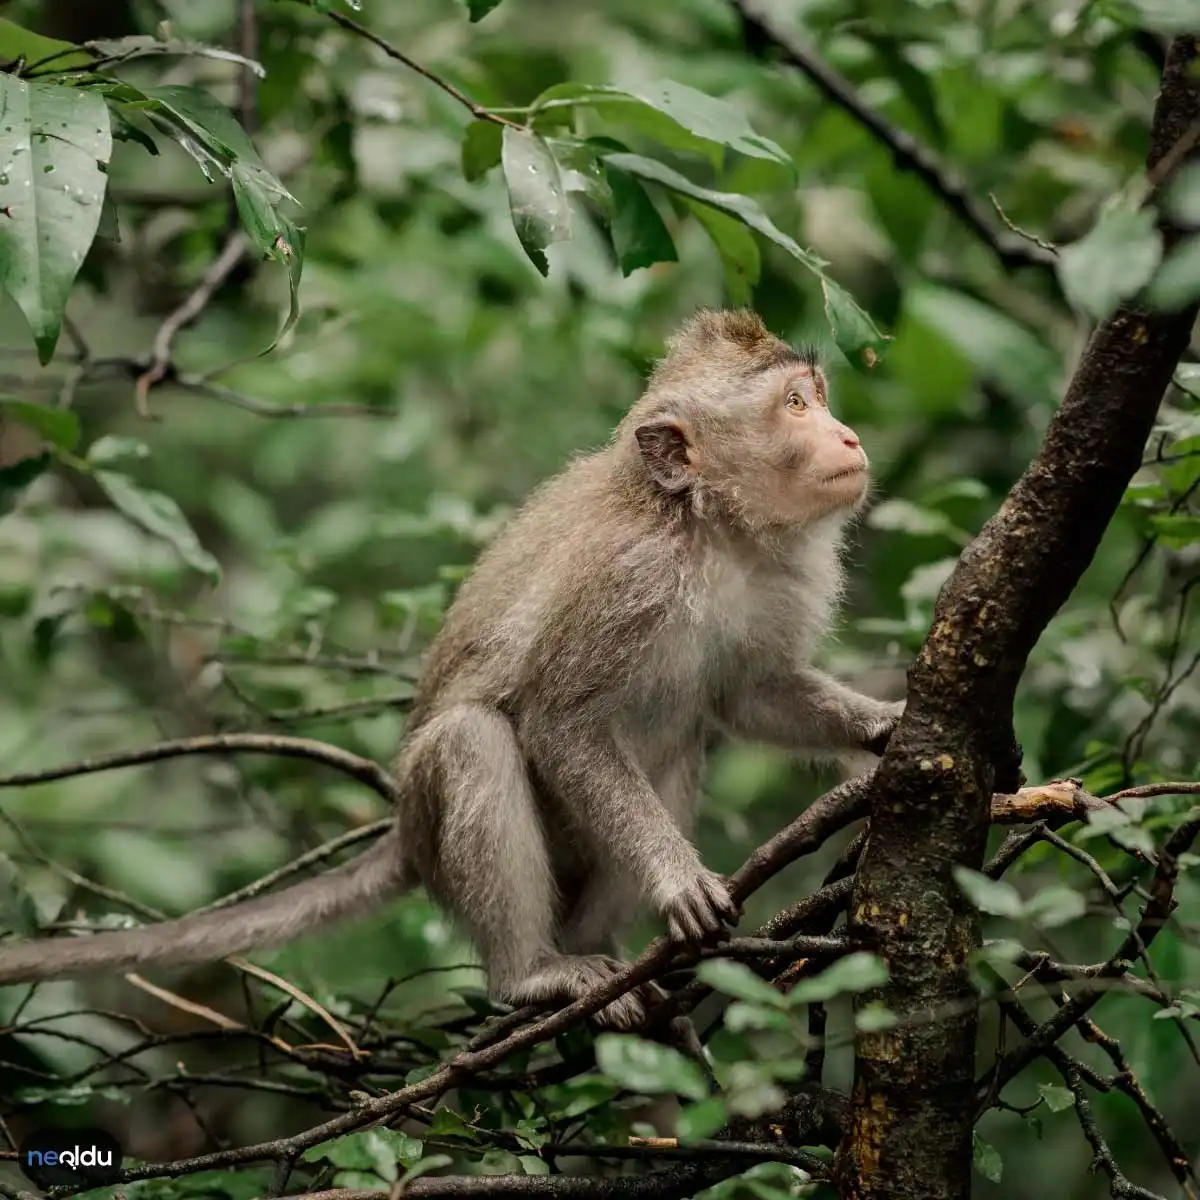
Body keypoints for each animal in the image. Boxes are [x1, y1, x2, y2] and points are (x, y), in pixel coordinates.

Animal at [0, 307, 902, 1022]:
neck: (712, 533)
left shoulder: (778, 577)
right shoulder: (629, 579)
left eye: (817, 397)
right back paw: (534, 975)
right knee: (473, 740)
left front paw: (888, 727)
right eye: (794, 405)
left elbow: (752, 694)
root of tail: (403, 830)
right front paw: (676, 878)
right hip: (439, 827)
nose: (849, 435)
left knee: (677, 746)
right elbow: (560, 724)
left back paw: (602, 948)